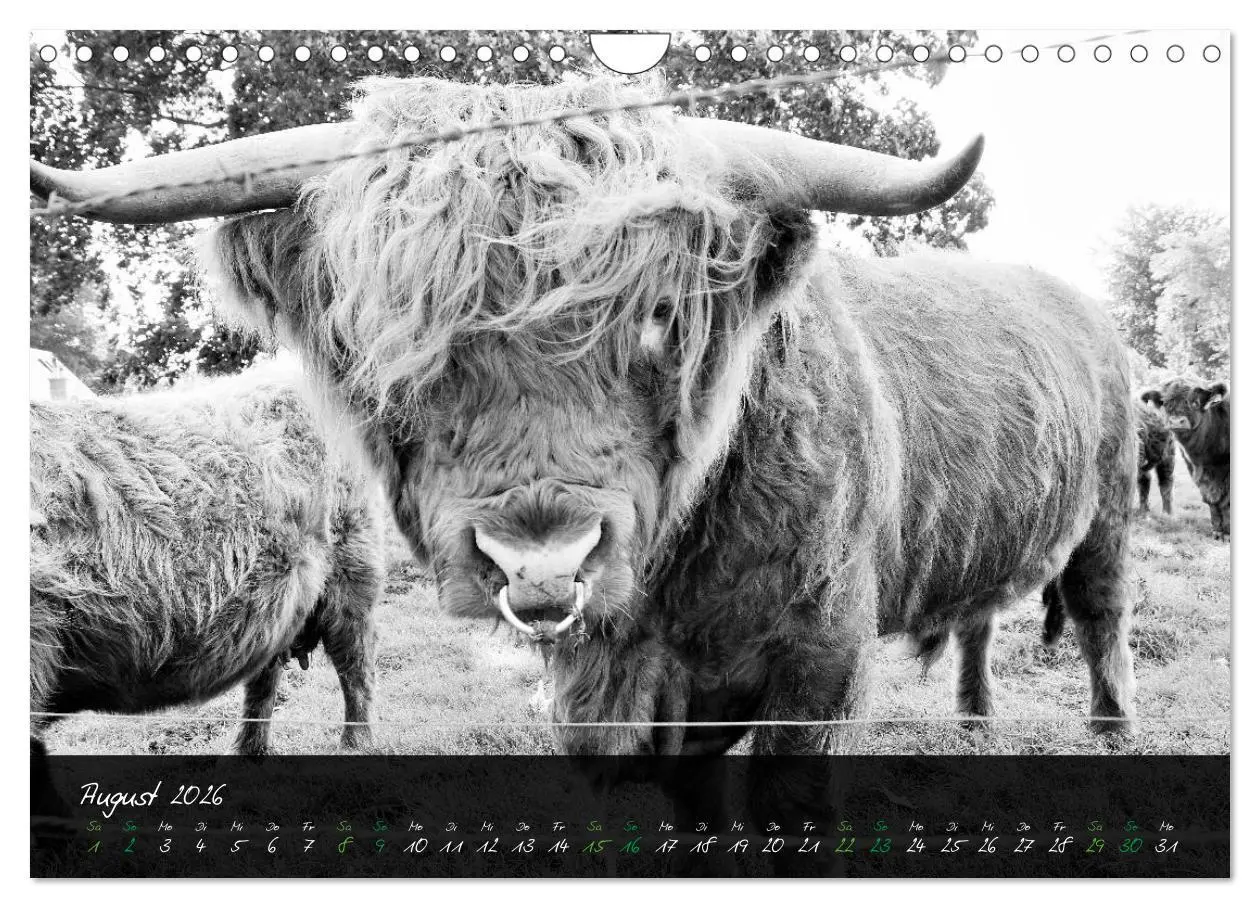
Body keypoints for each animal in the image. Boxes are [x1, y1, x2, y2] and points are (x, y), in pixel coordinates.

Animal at [29, 366, 385, 756]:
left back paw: (355, 744)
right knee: (265, 676)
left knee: (355, 665)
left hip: (352, 572)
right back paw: (248, 750)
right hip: (279, 604)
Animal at [1142, 377, 1230, 539]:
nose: (1177, 421)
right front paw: (1217, 531)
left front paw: (1226, 533)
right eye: (1165, 402)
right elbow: (1212, 501)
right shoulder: (1198, 472)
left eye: (1195, 402)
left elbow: (1226, 502)